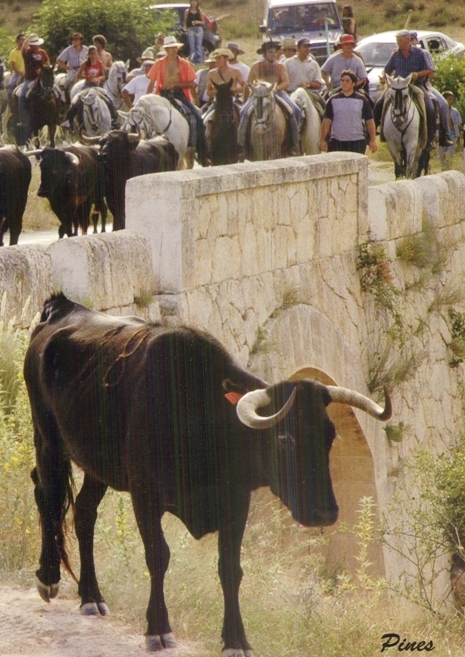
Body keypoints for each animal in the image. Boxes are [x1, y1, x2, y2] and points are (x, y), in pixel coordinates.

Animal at [24, 293, 391, 655]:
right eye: (284, 439)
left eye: (330, 436)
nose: (324, 512)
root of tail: (61, 306)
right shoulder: (145, 496)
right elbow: (158, 556)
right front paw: (158, 629)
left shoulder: (236, 501)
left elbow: (230, 567)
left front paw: (236, 640)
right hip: (48, 442)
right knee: (46, 495)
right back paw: (48, 577)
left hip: (96, 466)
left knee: (84, 512)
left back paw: (91, 596)